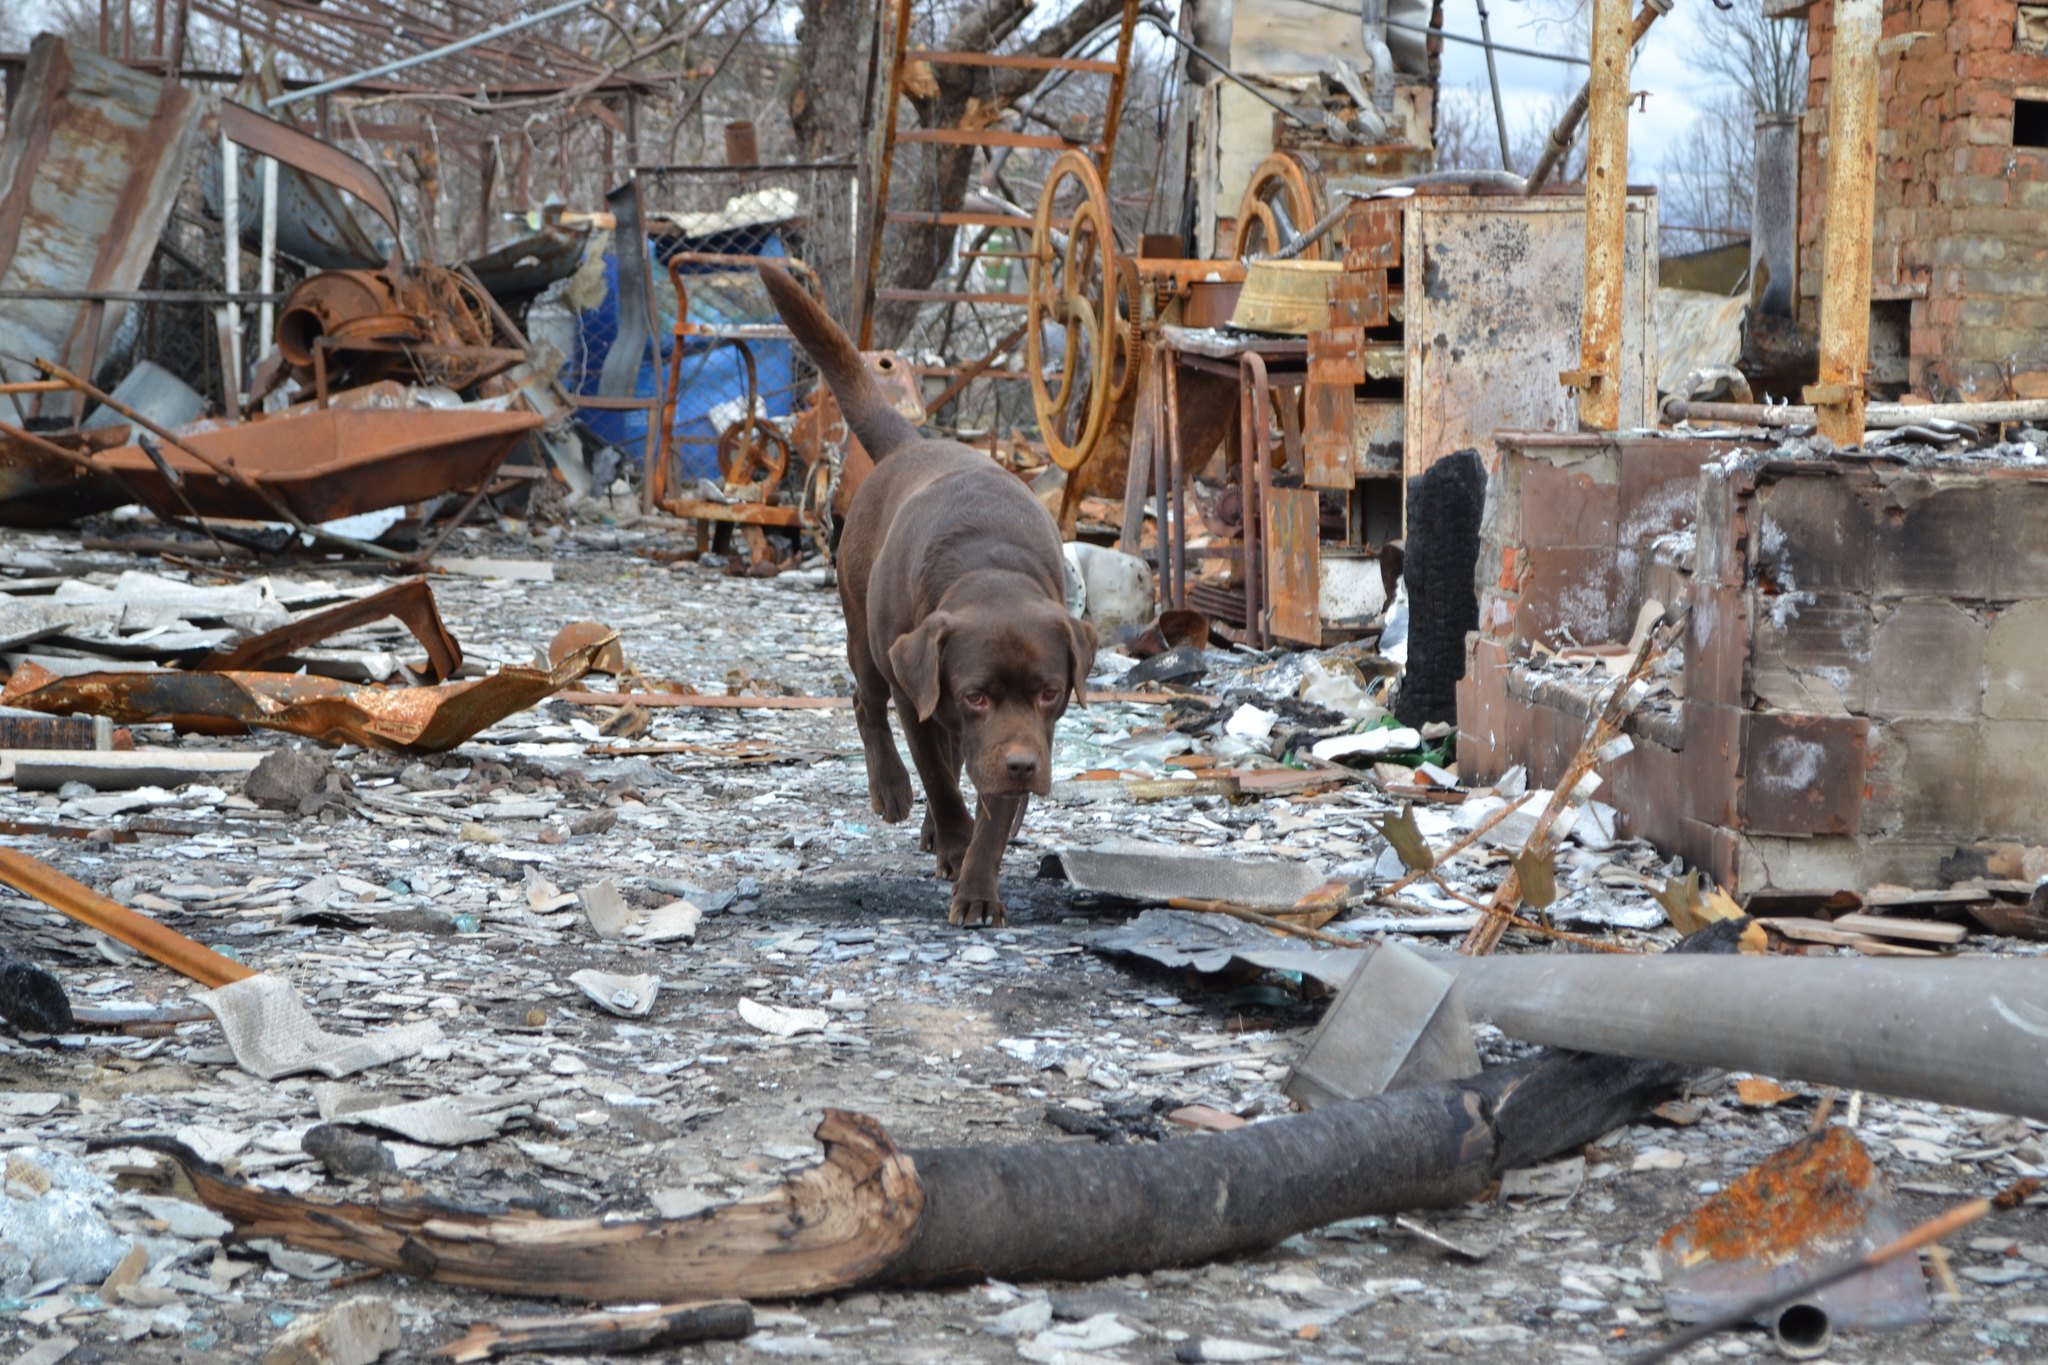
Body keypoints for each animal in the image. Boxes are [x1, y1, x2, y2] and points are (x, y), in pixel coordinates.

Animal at [757, 266, 1097, 925]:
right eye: (976, 696)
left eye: (1049, 692)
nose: (1024, 766)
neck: (987, 567)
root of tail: (909, 445)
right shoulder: (918, 684)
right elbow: (939, 778)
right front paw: (956, 842)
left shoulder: (1015, 736)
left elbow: (992, 804)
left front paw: (979, 885)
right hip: (866, 636)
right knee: (869, 704)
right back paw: (894, 792)